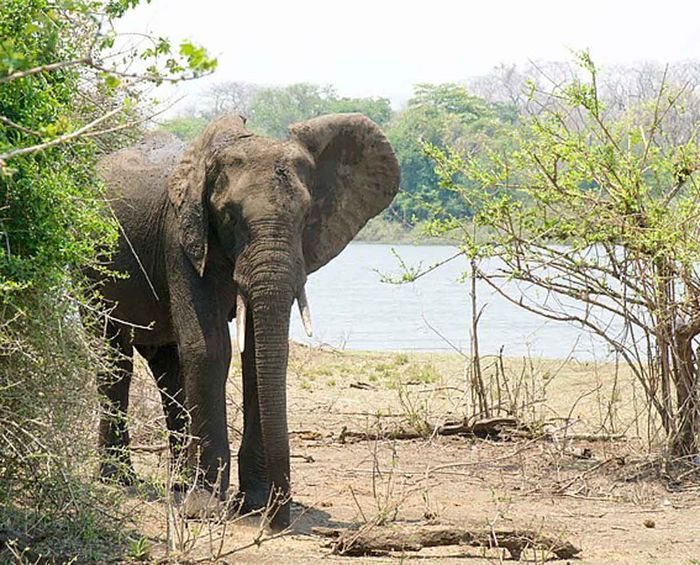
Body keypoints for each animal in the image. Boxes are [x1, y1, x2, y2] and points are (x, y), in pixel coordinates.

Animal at [91, 113, 400, 528]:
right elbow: (209, 349)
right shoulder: (181, 237)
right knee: (113, 357)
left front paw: (251, 504)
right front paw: (205, 510)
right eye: (230, 216)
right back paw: (119, 480)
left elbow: (256, 355)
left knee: (168, 366)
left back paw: (178, 485)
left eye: (306, 215)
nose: (279, 517)